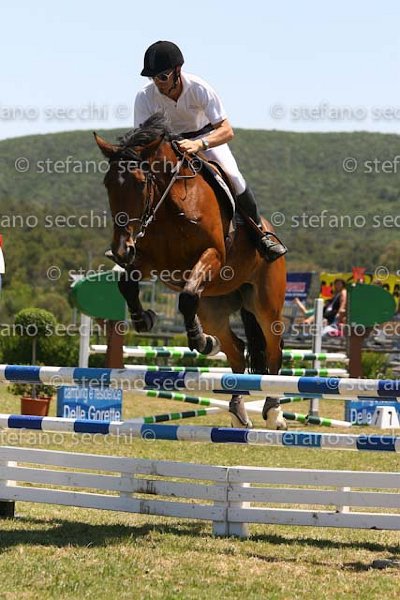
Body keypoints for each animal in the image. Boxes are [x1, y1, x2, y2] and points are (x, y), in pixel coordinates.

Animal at [94, 113, 287, 429]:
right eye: (108, 184)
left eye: (140, 183)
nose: (121, 250)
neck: (171, 203)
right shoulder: (149, 262)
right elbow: (127, 284)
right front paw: (145, 319)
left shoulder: (211, 256)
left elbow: (185, 297)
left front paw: (198, 340)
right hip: (214, 308)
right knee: (236, 349)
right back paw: (237, 408)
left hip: (266, 305)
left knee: (273, 349)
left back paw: (273, 410)